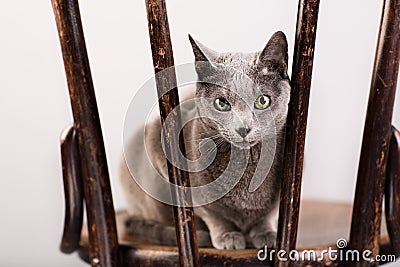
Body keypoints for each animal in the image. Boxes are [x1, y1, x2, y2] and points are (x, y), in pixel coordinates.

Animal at [119, 31, 290, 251]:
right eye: (222, 103)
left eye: (263, 101)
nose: (243, 128)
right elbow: (212, 213)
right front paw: (228, 236)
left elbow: (268, 213)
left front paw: (267, 234)